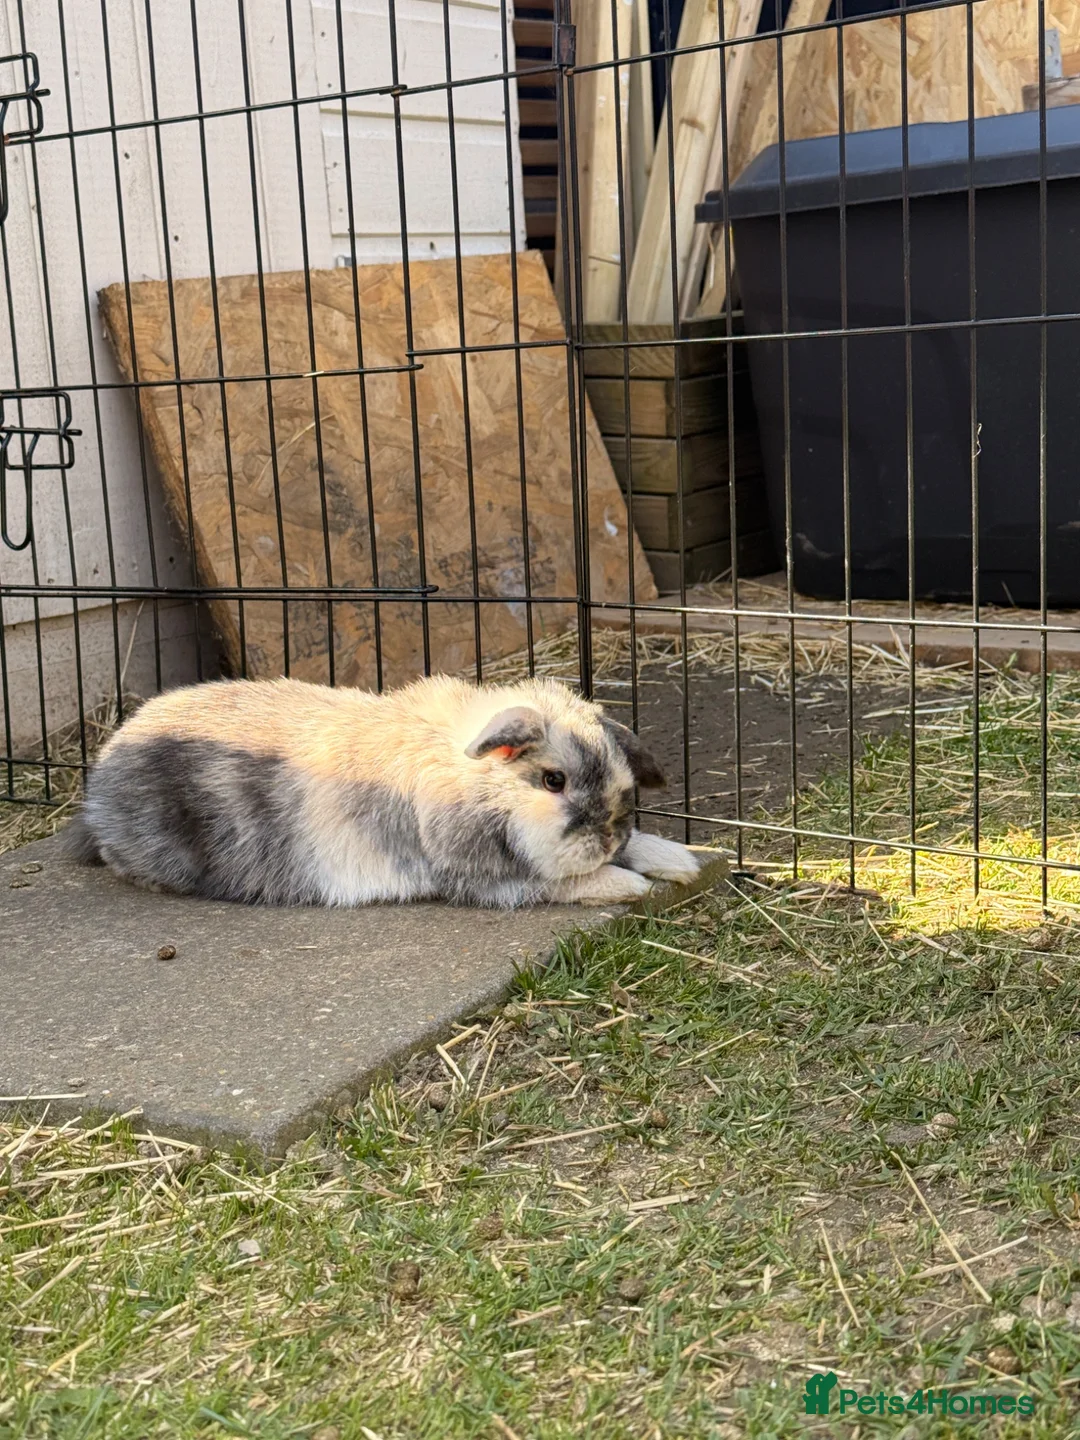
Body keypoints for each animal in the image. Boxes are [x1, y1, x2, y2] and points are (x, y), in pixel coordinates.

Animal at [67, 673, 703, 909]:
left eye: (622, 779)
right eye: (554, 780)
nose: (607, 837)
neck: (469, 779)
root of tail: (99, 787)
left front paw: (681, 862)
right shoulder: (484, 878)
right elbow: (563, 883)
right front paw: (632, 883)